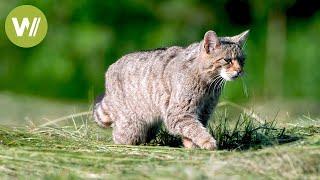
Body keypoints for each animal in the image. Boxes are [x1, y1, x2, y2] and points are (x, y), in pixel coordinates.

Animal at [94, 30, 249, 150]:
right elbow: (195, 129)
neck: (208, 84)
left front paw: (191, 145)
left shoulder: (204, 111)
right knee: (120, 135)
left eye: (242, 60)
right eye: (227, 60)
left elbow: (193, 129)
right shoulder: (179, 112)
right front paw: (207, 141)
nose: (240, 71)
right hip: (132, 126)